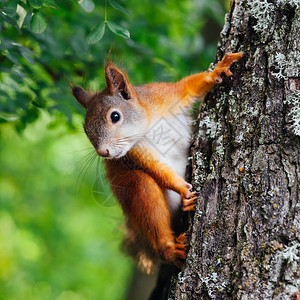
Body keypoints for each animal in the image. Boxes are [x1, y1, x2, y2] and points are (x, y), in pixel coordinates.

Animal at [72, 51, 244, 272]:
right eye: (86, 130)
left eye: (115, 116)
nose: (103, 152)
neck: (147, 125)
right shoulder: (137, 152)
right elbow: (158, 169)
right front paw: (184, 190)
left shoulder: (164, 95)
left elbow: (189, 87)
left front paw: (218, 70)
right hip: (138, 195)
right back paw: (171, 251)